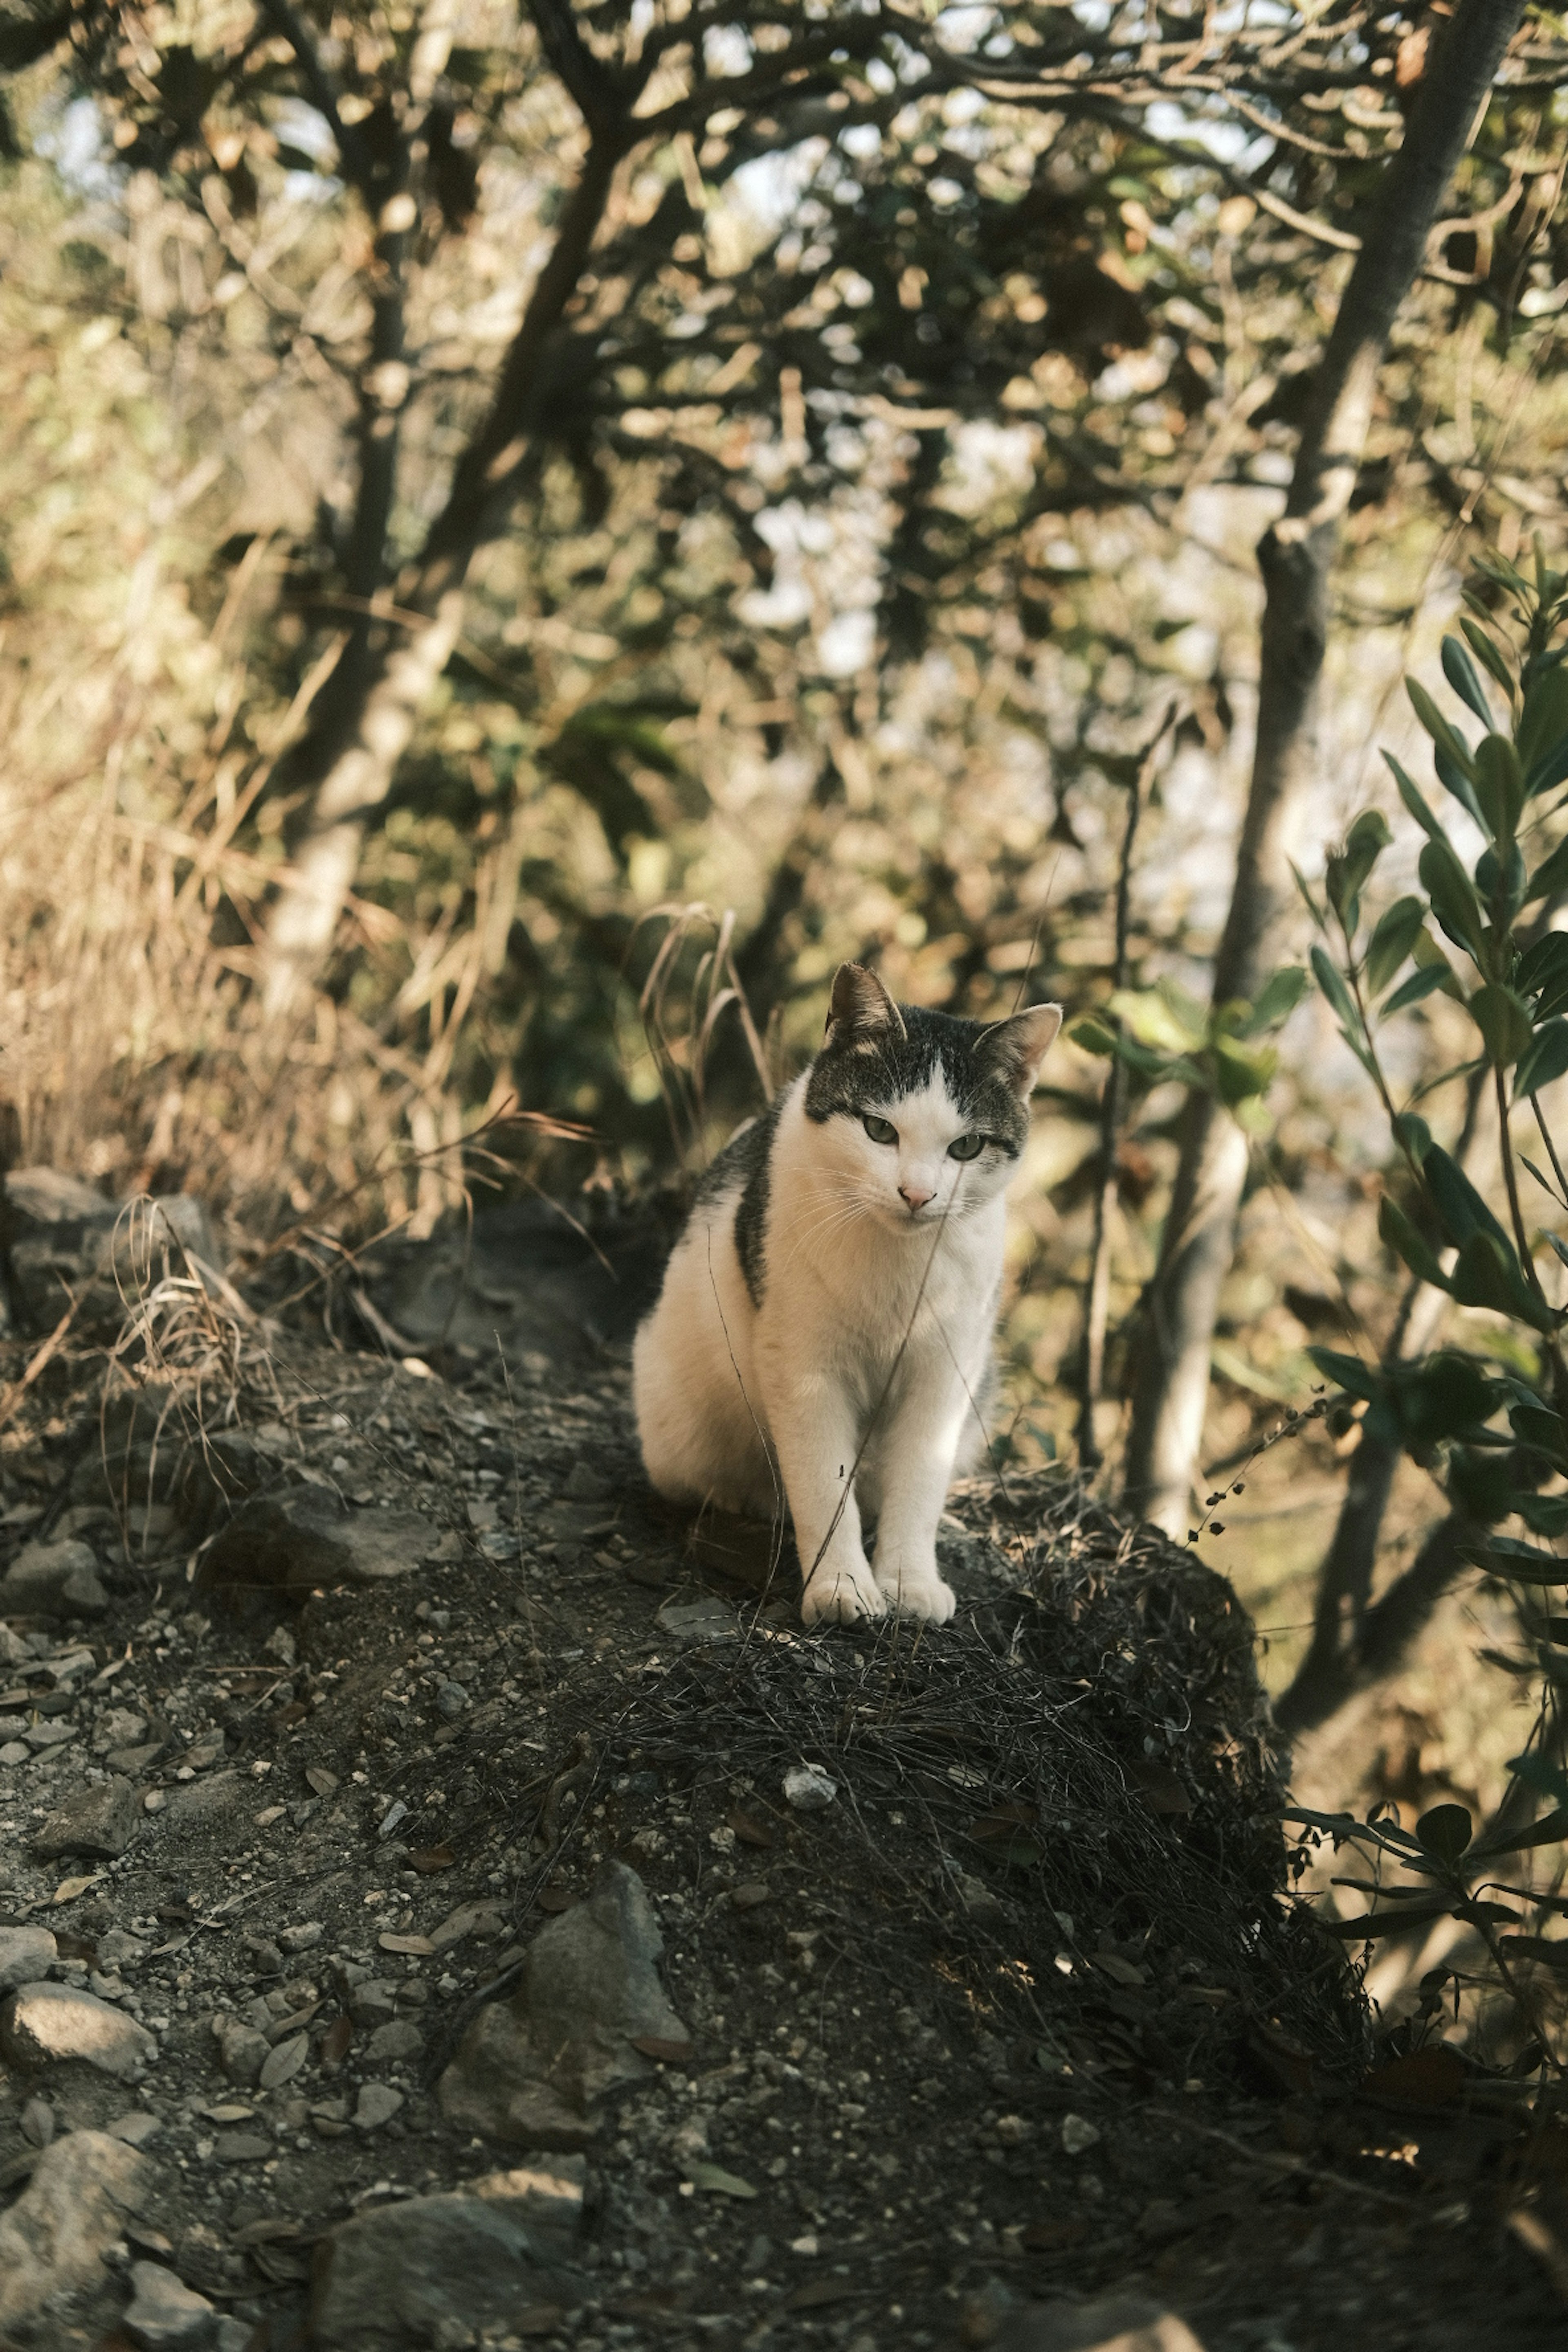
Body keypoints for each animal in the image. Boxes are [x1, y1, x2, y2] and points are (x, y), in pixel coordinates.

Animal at [630, 964, 1062, 1627]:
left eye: (965, 1148)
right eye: (879, 1131)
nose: (917, 1194)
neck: (897, 1264)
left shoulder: (946, 1367)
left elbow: (919, 1480)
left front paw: (909, 1581)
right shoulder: (803, 1367)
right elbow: (821, 1480)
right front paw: (840, 1587)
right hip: (680, 1426)